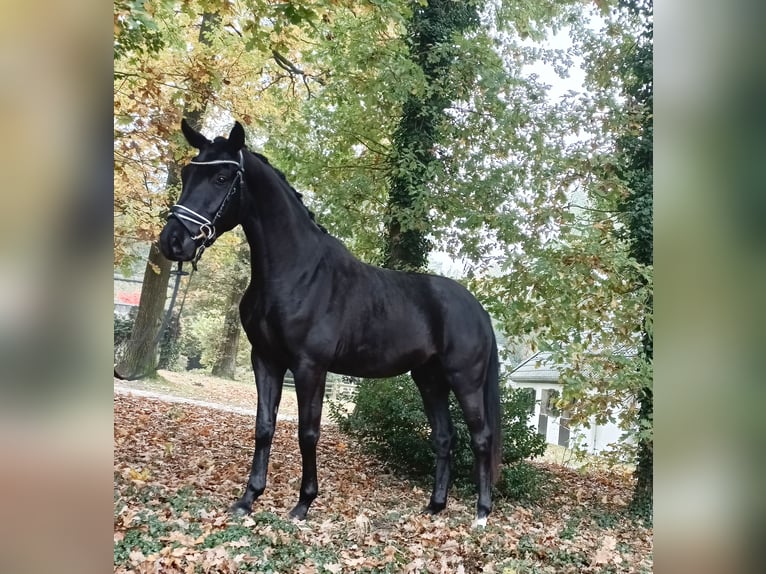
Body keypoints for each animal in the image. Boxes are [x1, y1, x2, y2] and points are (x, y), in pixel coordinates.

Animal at [158, 121, 504, 528]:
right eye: (186, 174)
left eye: (221, 177)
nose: (172, 241)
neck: (297, 272)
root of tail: (476, 308)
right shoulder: (266, 360)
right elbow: (264, 427)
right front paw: (248, 499)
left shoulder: (310, 366)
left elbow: (308, 432)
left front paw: (303, 504)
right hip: (430, 379)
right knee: (444, 437)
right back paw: (435, 506)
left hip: (465, 380)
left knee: (481, 438)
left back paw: (481, 513)